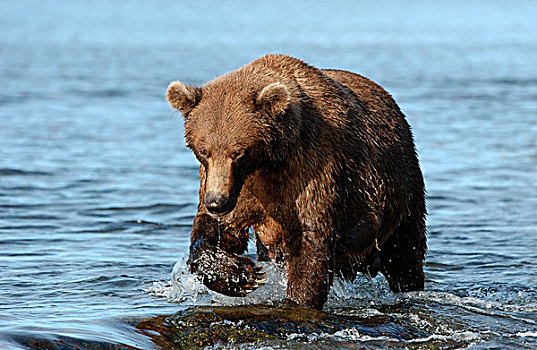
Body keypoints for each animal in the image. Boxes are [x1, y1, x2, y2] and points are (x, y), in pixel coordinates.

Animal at [165, 54, 426, 308]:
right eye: (203, 150)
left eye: (238, 152)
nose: (217, 202)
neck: (270, 160)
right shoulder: (238, 187)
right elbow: (218, 230)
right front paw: (241, 275)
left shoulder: (311, 169)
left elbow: (310, 242)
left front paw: (297, 299)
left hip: (400, 190)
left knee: (405, 252)